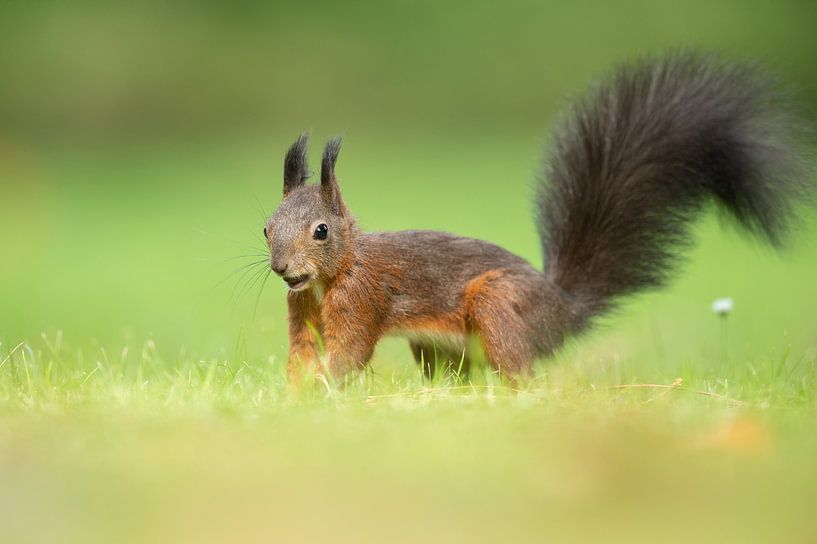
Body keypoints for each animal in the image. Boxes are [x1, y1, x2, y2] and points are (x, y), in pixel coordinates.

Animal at [262, 53, 808, 380]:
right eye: (266, 227)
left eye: (321, 231)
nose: (282, 268)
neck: (333, 274)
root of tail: (563, 310)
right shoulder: (302, 309)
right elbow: (300, 350)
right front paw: (295, 391)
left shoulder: (363, 299)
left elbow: (349, 353)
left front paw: (323, 386)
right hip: (441, 344)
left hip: (500, 305)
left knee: (519, 373)